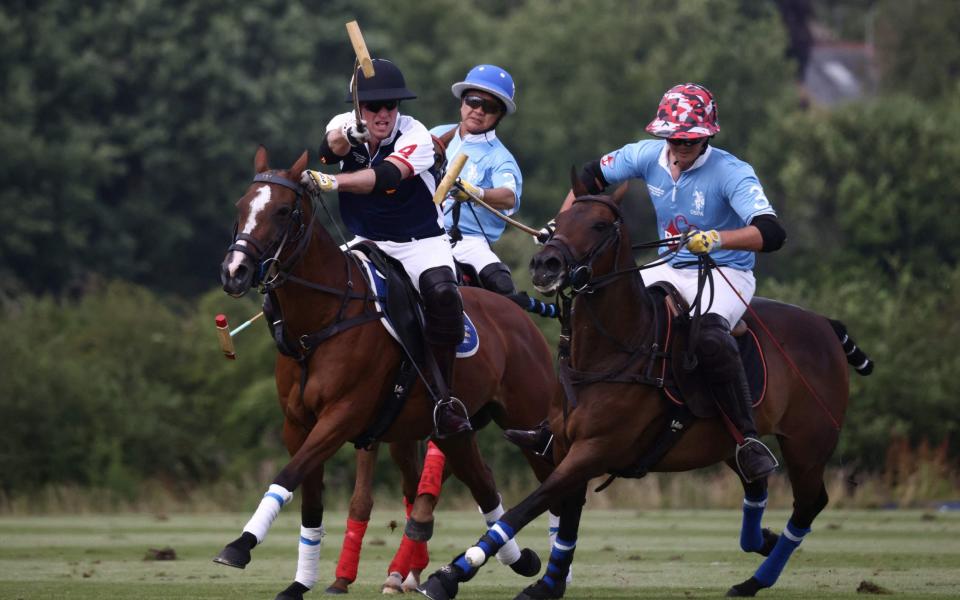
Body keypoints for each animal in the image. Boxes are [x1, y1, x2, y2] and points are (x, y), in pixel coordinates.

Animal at [213, 146, 552, 600]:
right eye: (241, 206)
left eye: (284, 210)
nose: (234, 272)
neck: (322, 321)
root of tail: (517, 311)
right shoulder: (298, 424)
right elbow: (310, 501)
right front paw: (300, 583)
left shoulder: (343, 415)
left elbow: (288, 475)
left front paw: (240, 545)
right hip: (455, 431)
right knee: (484, 482)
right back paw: (513, 560)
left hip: (529, 417)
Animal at [420, 180, 872, 596]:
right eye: (558, 224)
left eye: (600, 224)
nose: (545, 265)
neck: (613, 351)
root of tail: (824, 324)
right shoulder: (567, 447)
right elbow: (566, 516)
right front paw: (548, 583)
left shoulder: (595, 448)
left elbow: (527, 506)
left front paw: (452, 572)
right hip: (731, 442)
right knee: (756, 484)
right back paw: (760, 544)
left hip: (808, 441)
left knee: (809, 503)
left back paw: (755, 580)